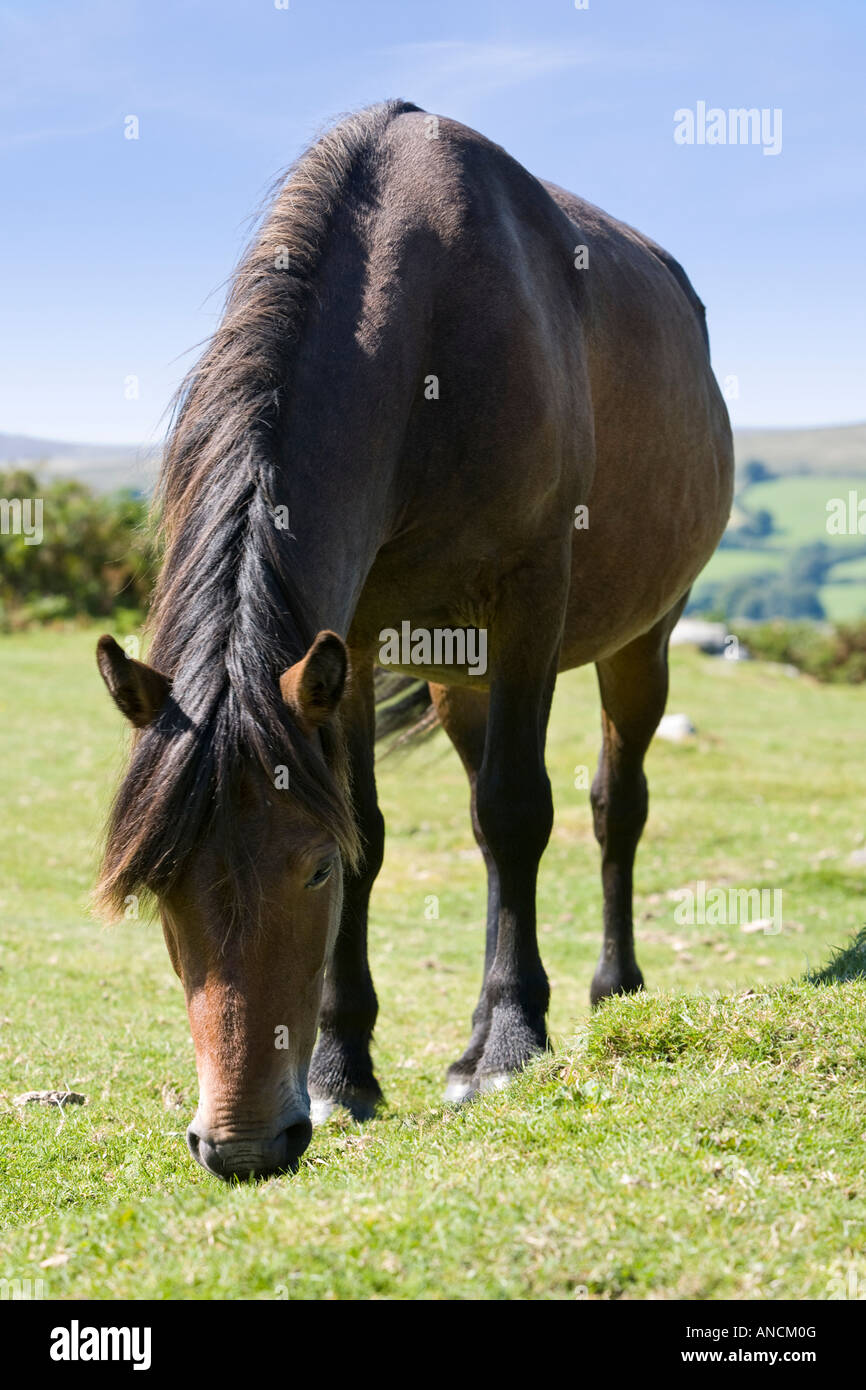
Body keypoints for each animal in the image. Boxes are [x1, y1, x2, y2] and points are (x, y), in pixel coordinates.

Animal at [96, 102, 733, 1178]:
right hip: (454, 677)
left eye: (306, 869)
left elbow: (518, 813)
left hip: (639, 639)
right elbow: (380, 828)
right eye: (159, 886)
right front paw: (342, 1069)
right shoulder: (343, 646)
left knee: (612, 806)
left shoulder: (530, 601)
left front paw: (509, 1046)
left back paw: (610, 986)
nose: (242, 1146)